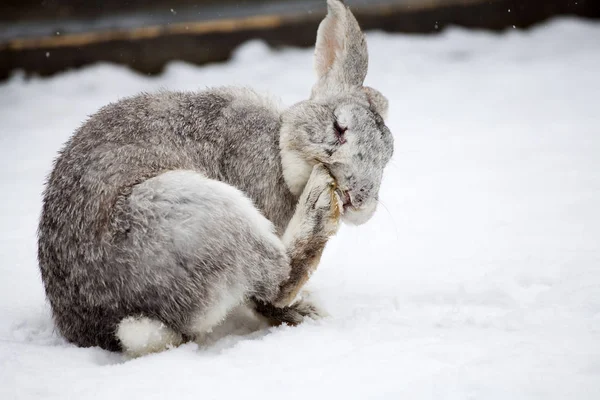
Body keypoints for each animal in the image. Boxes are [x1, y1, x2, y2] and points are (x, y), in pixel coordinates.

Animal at [36, 0, 394, 356]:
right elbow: (266, 298)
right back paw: (318, 209)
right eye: (338, 128)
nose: (357, 200)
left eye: (388, 154)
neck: (279, 146)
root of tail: (105, 328)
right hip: (200, 214)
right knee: (278, 277)